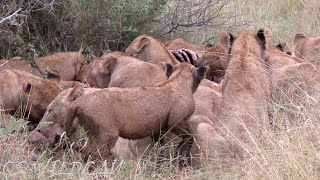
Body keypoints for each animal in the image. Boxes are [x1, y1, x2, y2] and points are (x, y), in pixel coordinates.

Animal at [63, 63, 208, 163]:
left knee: (85, 153)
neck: (178, 80)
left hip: (93, 135)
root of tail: (78, 102)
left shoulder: (158, 130)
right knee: (92, 154)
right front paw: (181, 154)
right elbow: (190, 137)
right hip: (105, 136)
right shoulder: (177, 121)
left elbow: (160, 148)